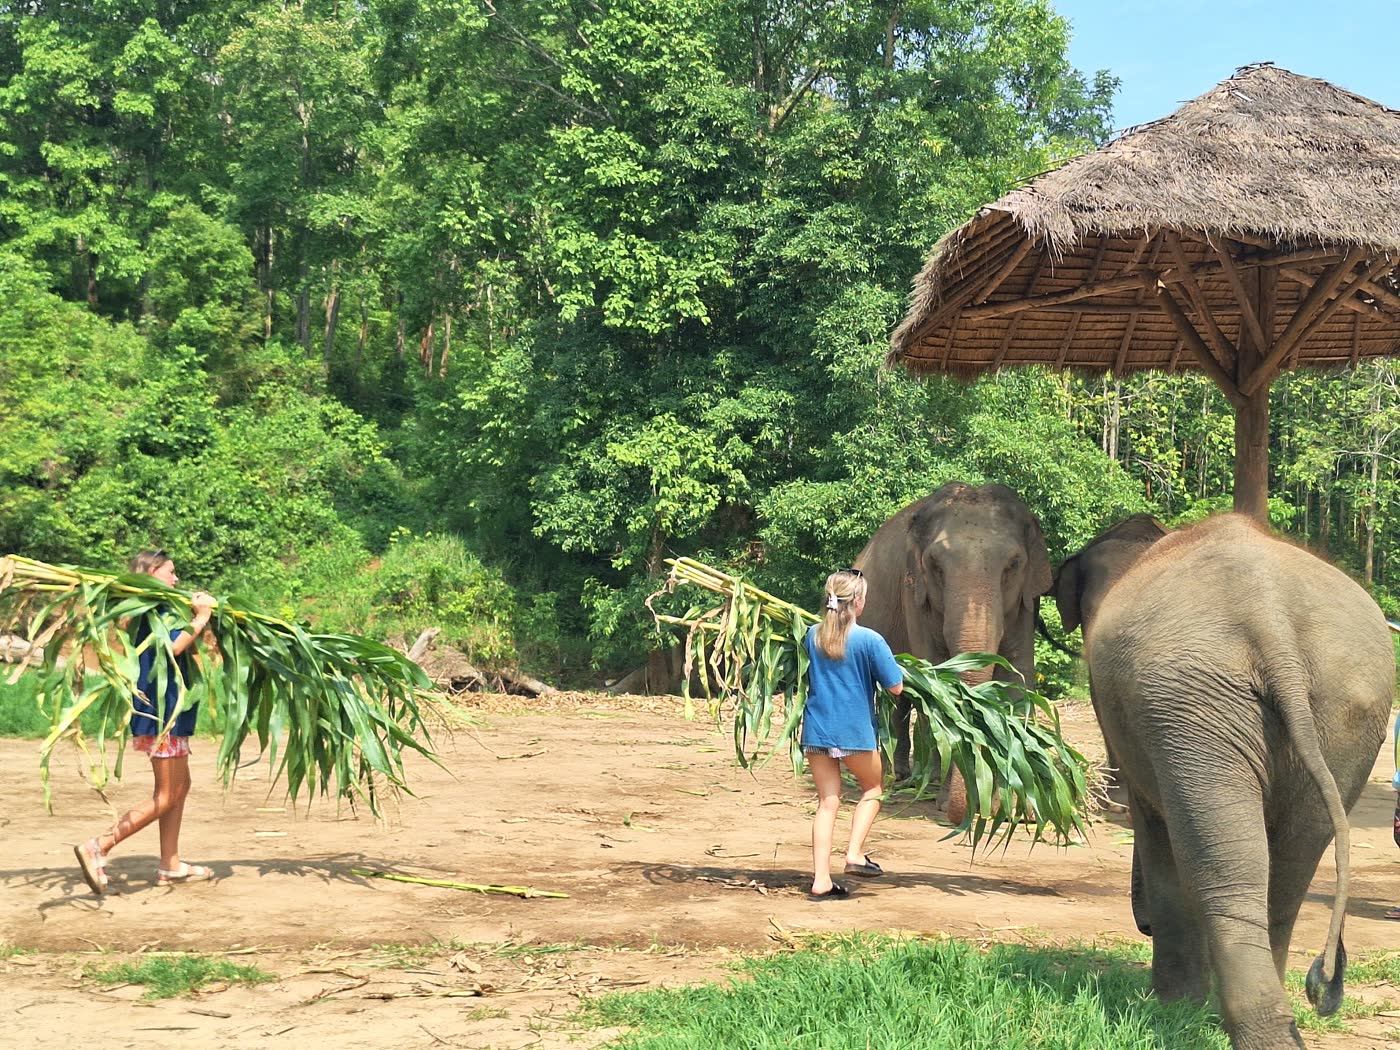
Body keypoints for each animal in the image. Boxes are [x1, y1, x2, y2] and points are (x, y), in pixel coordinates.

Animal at [853, 482, 1052, 794]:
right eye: (935, 566)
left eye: (1013, 565)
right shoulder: (914, 594)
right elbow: (932, 667)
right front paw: (942, 783)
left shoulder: (1027, 601)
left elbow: (1019, 669)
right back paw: (893, 774)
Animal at [1054, 512, 1395, 1050]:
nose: (1141, 924)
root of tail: (1268, 616)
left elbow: (1155, 829)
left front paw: (1173, 1007)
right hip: (1341, 706)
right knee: (1287, 867)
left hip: (1189, 701)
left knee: (1221, 864)